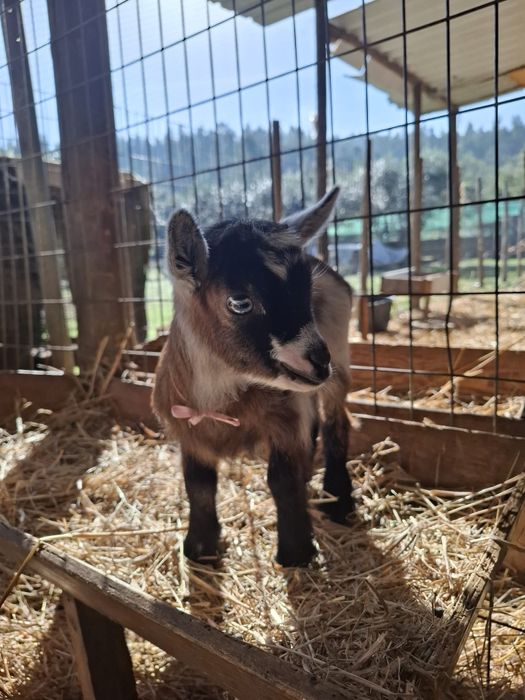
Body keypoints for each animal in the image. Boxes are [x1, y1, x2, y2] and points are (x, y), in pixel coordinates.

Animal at [152, 187, 353, 567]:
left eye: (306, 290)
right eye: (240, 302)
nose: (319, 361)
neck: (221, 404)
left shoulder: (286, 421)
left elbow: (281, 479)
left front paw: (295, 553)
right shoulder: (189, 430)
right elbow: (198, 484)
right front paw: (199, 548)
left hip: (339, 356)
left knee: (337, 420)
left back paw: (339, 500)